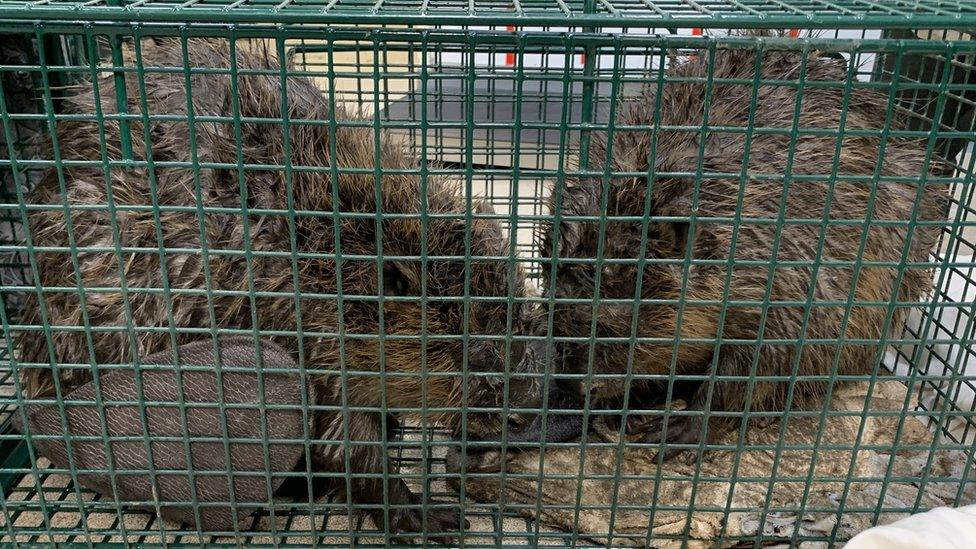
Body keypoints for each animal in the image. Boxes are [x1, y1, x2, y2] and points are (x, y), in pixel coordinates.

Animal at [19, 37, 540, 540]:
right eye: (479, 352)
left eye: (523, 321)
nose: (527, 413)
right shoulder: (313, 341)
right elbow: (346, 448)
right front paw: (429, 518)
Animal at [528, 37, 948, 458]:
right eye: (551, 307)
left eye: (611, 323)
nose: (571, 385)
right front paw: (621, 408)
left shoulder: (792, 278)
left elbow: (766, 360)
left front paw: (680, 429)